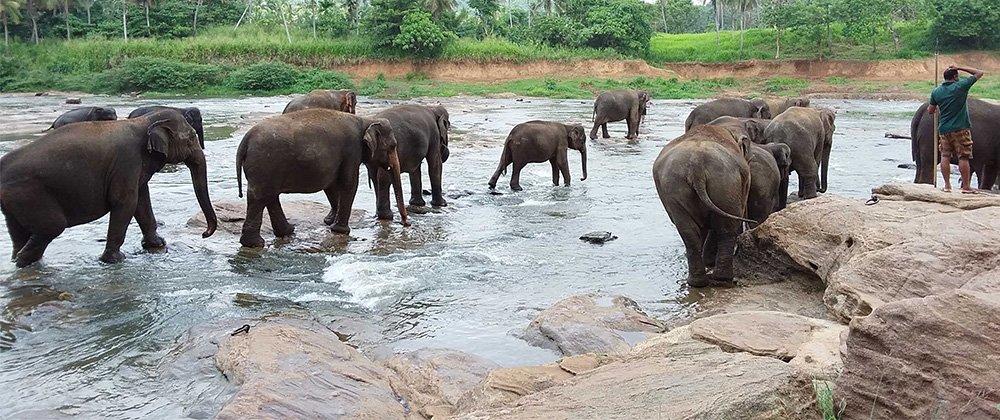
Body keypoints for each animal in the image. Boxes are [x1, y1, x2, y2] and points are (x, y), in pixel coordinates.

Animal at [1, 109, 218, 268]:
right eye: (191, 138)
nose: (204, 234)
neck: (143, 122)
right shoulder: (127, 161)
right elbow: (126, 202)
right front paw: (115, 260)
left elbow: (141, 200)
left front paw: (157, 244)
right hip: (29, 194)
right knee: (52, 227)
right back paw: (24, 263)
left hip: (14, 202)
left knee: (19, 233)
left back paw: (18, 262)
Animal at [235, 109, 408, 248]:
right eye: (392, 146)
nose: (406, 223)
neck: (365, 120)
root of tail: (245, 140)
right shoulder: (352, 151)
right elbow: (349, 183)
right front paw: (340, 230)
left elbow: (331, 183)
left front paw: (330, 222)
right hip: (264, 165)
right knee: (260, 197)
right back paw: (255, 243)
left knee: (270, 196)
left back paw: (288, 231)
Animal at [653, 124, 756, 287]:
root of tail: (696, 167)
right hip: (727, 184)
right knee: (726, 228)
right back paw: (722, 278)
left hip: (674, 188)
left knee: (688, 231)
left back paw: (697, 282)